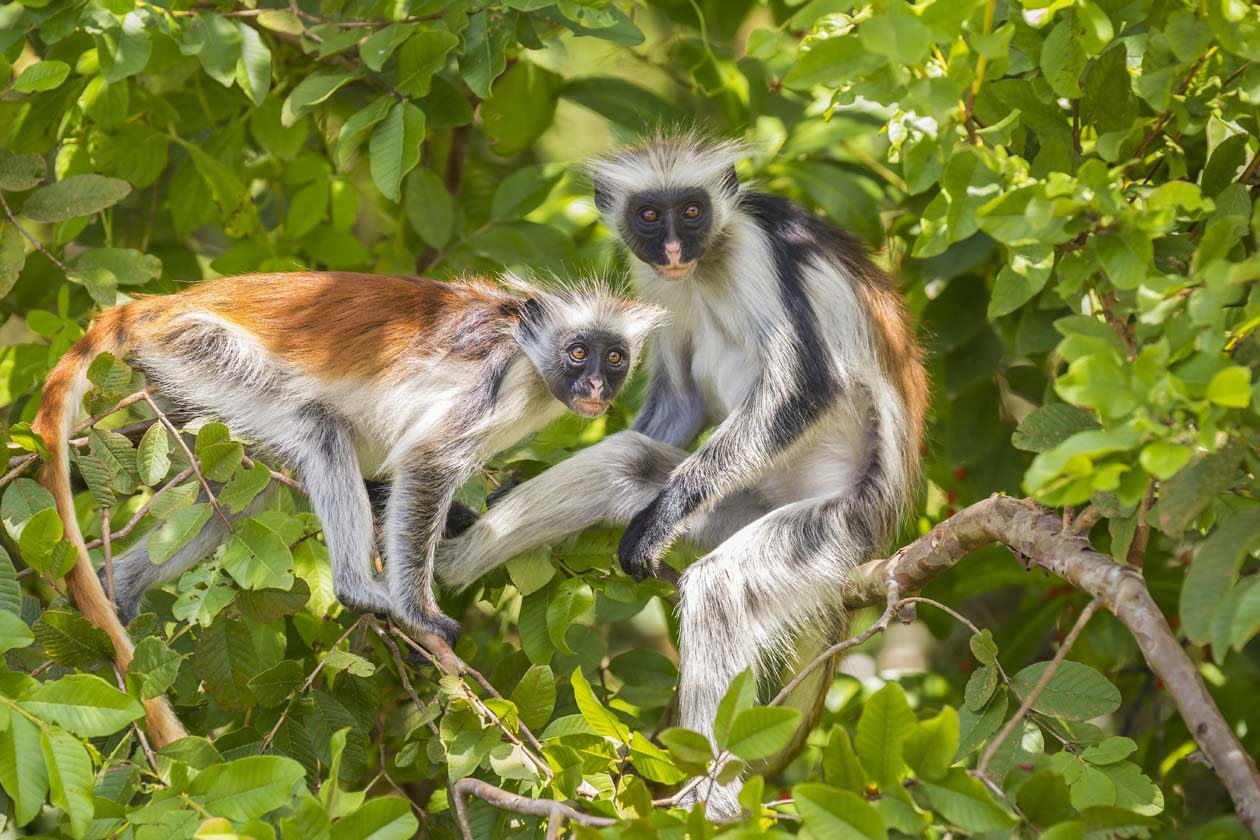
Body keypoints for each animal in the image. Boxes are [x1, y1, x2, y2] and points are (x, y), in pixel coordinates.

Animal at [34, 270, 665, 750]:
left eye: (613, 358)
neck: (530, 355)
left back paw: (121, 590)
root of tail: (159, 305)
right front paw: (418, 614)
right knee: (319, 428)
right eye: (577, 353)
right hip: (200, 349)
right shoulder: (497, 379)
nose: (595, 386)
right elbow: (427, 460)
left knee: (238, 494)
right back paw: (358, 588)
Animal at [438, 136, 932, 816]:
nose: (674, 249)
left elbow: (807, 386)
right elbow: (678, 402)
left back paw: (712, 799)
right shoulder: (655, 281)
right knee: (627, 461)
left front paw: (661, 519)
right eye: (650, 216)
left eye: (693, 212)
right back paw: (444, 563)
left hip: (837, 523)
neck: (706, 263)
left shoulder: (755, 247)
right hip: (738, 503)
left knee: (721, 586)